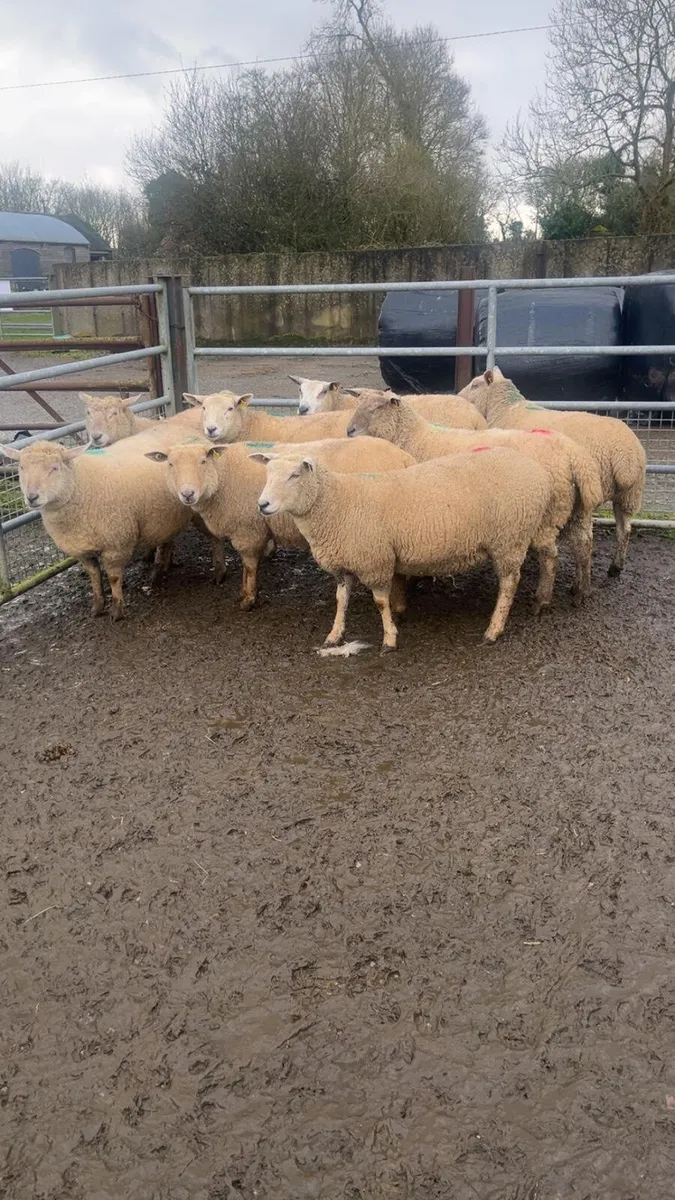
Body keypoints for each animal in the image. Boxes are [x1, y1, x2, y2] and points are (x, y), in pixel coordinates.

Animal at [1, 440, 192, 620]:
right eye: (21, 468)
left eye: (55, 468)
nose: (32, 497)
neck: (78, 487)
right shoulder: (81, 551)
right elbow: (94, 576)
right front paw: (97, 607)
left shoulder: (116, 546)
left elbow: (113, 578)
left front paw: (117, 610)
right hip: (163, 519)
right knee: (167, 541)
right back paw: (164, 566)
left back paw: (158, 572)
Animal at [146, 436, 415, 610]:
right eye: (170, 464)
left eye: (203, 461)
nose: (187, 494)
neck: (223, 475)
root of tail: (404, 458)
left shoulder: (248, 529)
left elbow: (249, 565)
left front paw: (247, 599)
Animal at [256, 448, 560, 651]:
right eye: (267, 474)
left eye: (295, 475)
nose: (262, 505)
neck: (337, 503)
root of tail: (540, 471)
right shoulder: (344, 566)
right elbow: (341, 600)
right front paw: (334, 635)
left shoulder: (375, 562)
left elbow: (381, 602)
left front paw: (389, 638)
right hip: (534, 526)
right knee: (549, 555)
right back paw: (542, 600)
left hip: (509, 539)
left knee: (509, 583)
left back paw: (494, 630)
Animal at [347, 388, 604, 598]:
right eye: (358, 404)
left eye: (376, 408)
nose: (349, 431)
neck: (415, 436)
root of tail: (574, 455)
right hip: (577, 509)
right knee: (584, 544)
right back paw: (581, 590)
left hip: (549, 513)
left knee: (551, 554)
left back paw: (543, 599)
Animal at [459, 369, 647, 577]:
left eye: (475, 385)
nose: (458, 397)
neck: (505, 408)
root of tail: (626, 456)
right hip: (629, 494)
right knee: (624, 529)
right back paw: (615, 567)